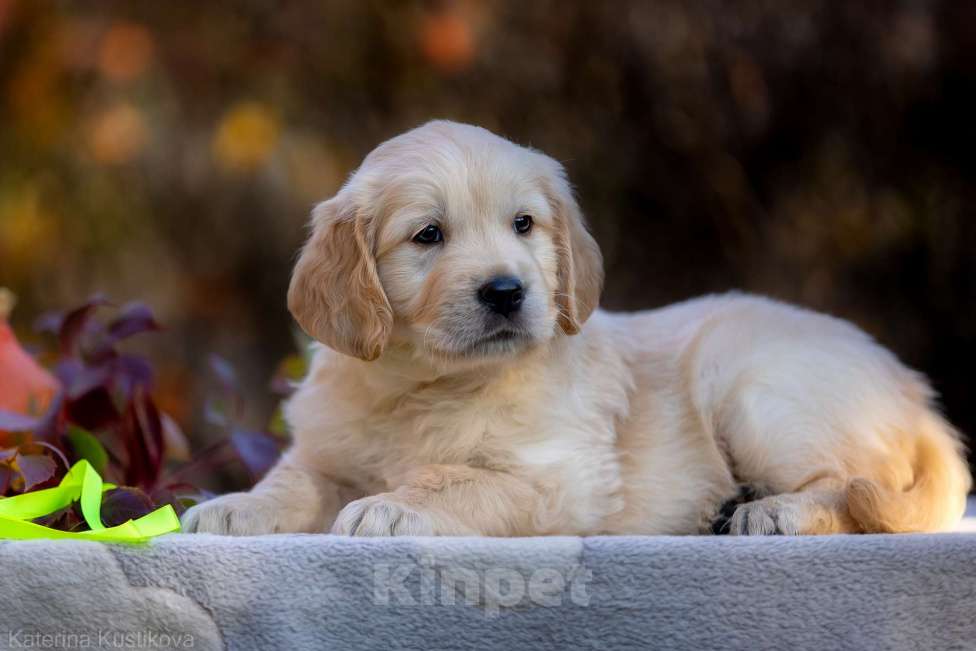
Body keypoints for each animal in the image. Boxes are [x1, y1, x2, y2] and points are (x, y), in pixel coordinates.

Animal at [181, 119, 968, 536]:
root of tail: (915, 396)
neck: (425, 384)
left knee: (856, 484)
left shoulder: (561, 477)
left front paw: (392, 507)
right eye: (428, 235)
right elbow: (290, 482)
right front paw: (232, 507)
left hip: (752, 387)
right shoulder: (325, 452)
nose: (506, 291)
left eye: (524, 225)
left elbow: (461, 480)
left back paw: (770, 511)